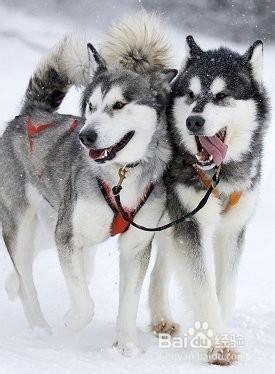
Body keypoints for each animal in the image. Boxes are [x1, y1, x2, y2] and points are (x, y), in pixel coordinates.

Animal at [0, 13, 177, 356]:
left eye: (119, 105)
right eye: (92, 106)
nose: (86, 136)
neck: (120, 177)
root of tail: (31, 113)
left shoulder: (136, 244)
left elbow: (129, 300)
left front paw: (128, 346)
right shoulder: (68, 235)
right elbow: (84, 301)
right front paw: (74, 319)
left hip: (51, 225)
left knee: (29, 267)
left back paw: (12, 286)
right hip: (25, 225)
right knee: (27, 277)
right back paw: (39, 326)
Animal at [150, 35, 270, 366]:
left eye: (222, 95)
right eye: (190, 94)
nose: (194, 121)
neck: (219, 176)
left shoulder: (232, 232)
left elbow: (224, 292)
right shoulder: (191, 224)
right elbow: (202, 288)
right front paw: (218, 345)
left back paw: (161, 317)